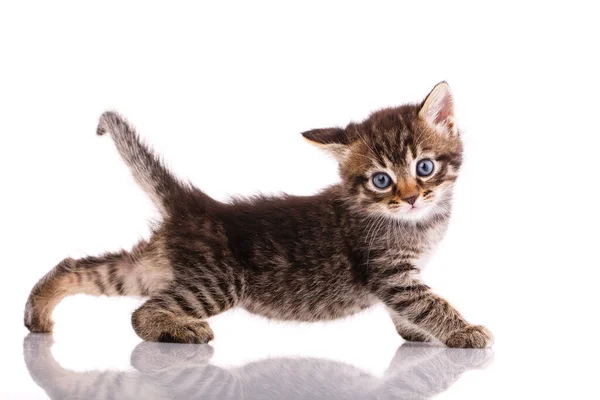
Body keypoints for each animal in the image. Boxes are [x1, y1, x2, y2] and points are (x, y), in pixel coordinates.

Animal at [23, 83, 492, 348]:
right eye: (381, 180)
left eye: (424, 167)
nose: (411, 197)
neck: (417, 223)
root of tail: (196, 205)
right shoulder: (390, 273)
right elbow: (429, 303)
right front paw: (462, 331)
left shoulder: (397, 279)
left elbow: (408, 309)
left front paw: (416, 334)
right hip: (218, 282)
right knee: (140, 313)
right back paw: (177, 330)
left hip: (152, 269)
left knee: (80, 267)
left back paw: (39, 313)